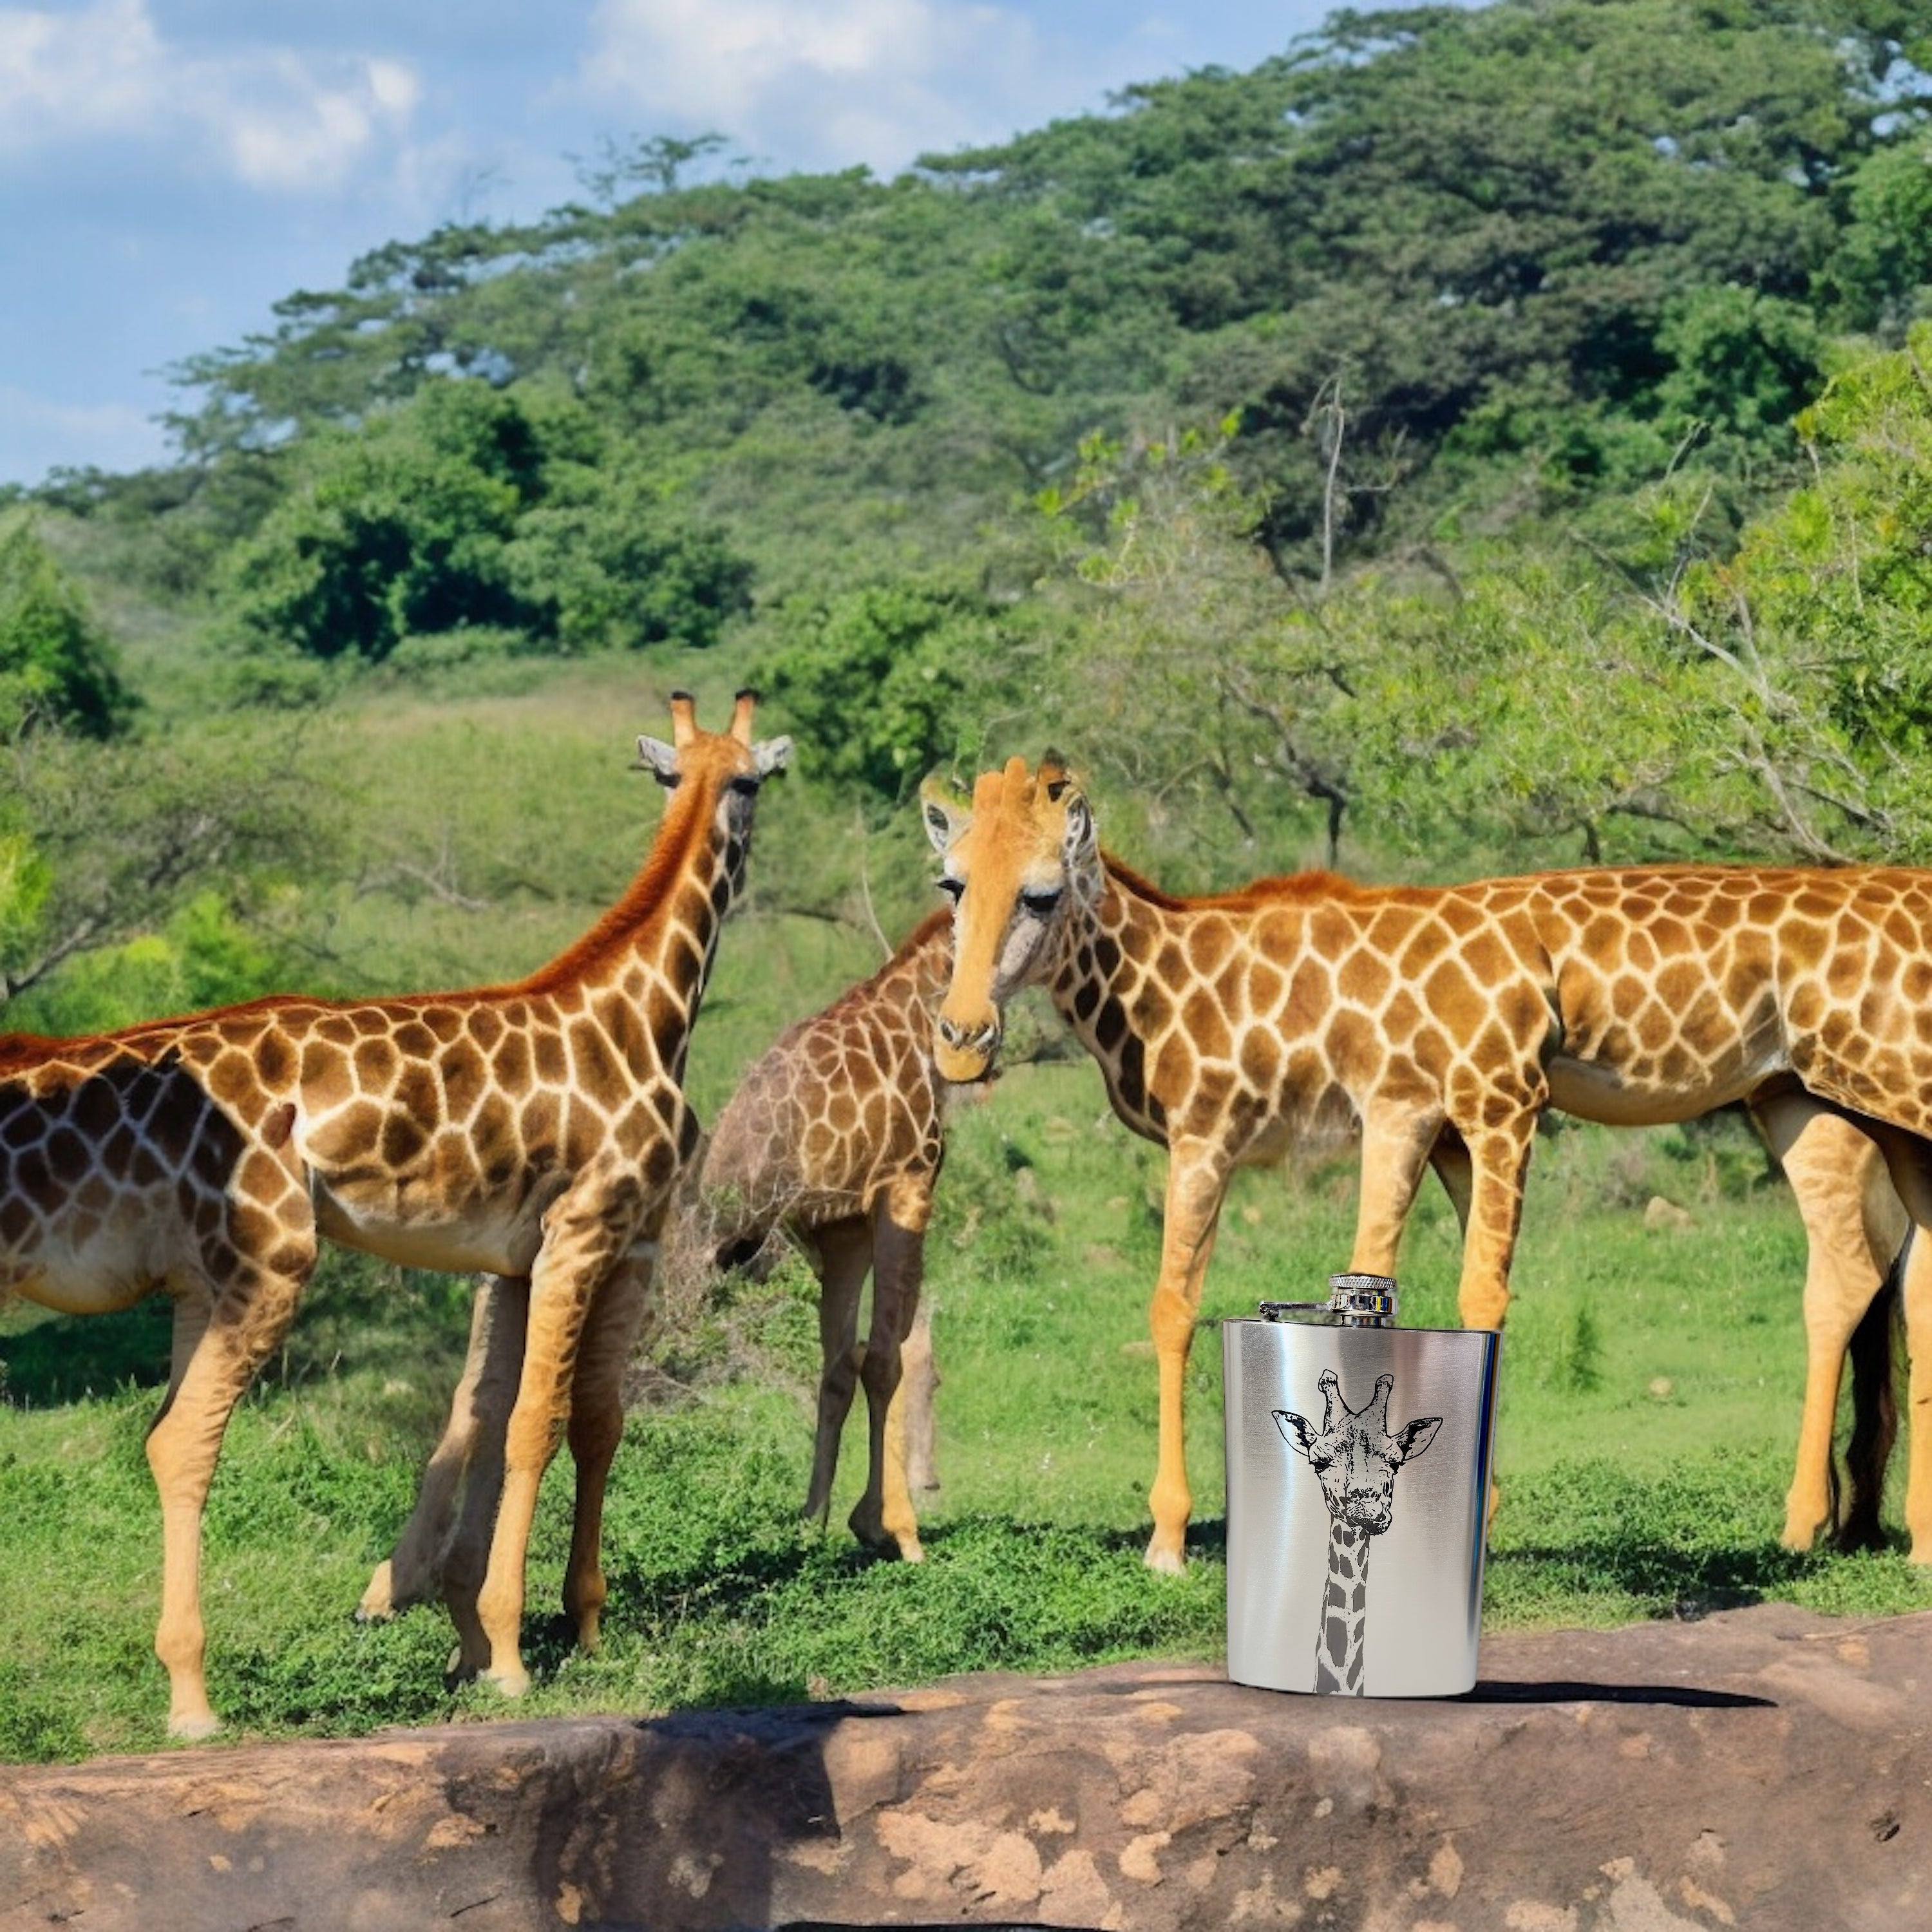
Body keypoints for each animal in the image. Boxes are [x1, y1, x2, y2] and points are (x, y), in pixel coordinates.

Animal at [0, 690, 789, 1736]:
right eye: (743, 780)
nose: (736, 819)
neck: (653, 1013)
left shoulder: (517, 1254)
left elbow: (490, 1419)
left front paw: (476, 1638)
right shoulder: (606, 1231)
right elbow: (562, 1419)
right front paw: (532, 1646)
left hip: (204, 1274)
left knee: (171, 1434)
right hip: (270, 1260)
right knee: (182, 1441)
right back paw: (193, 1701)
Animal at [920, 755, 1932, 1571]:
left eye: (1042, 893)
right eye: (952, 883)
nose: (963, 1040)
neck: (1179, 985)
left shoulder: (1473, 1099)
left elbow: (1204, 1306)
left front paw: (1169, 1539)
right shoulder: (1418, 1120)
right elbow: (1359, 1282)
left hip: (1888, 1093)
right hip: (1807, 1100)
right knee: (1865, 1273)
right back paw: (1835, 1529)